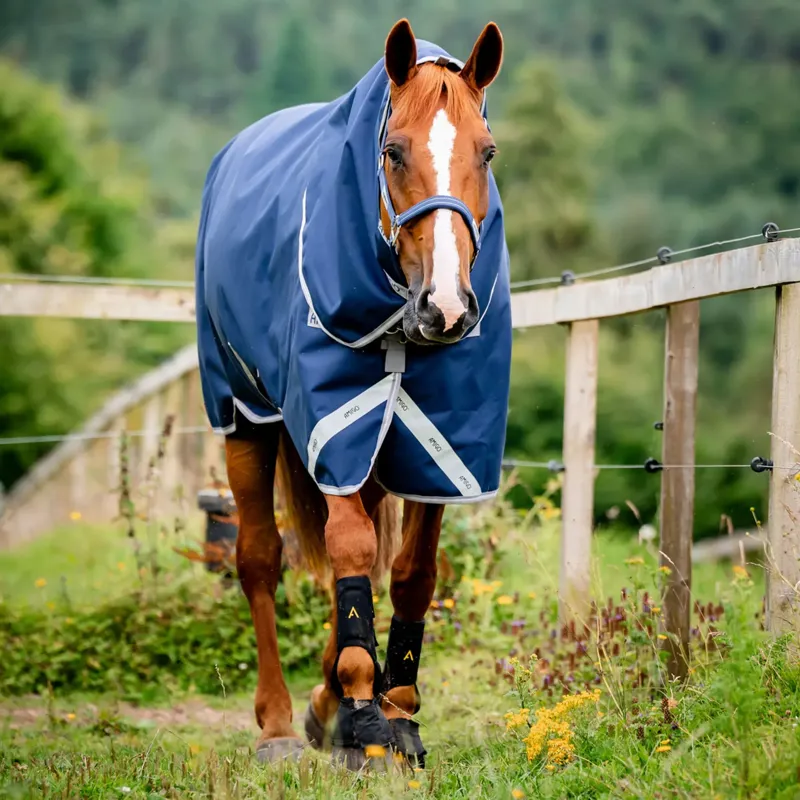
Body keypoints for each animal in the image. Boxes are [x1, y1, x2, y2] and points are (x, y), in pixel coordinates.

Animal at [195, 18, 511, 769]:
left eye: (487, 152)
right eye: (392, 151)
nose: (447, 308)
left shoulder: (442, 446)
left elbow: (411, 572)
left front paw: (395, 708)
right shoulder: (333, 426)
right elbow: (347, 551)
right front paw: (364, 712)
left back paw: (322, 702)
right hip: (245, 417)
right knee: (259, 559)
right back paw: (280, 722)